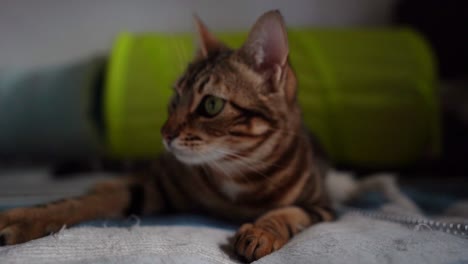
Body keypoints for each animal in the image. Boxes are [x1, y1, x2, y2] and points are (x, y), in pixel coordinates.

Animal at [0, 10, 336, 262]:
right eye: (175, 98)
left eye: (211, 105)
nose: (164, 134)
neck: (235, 175)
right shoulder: (154, 186)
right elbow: (77, 203)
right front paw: (23, 217)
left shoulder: (322, 205)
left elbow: (289, 212)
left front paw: (261, 232)